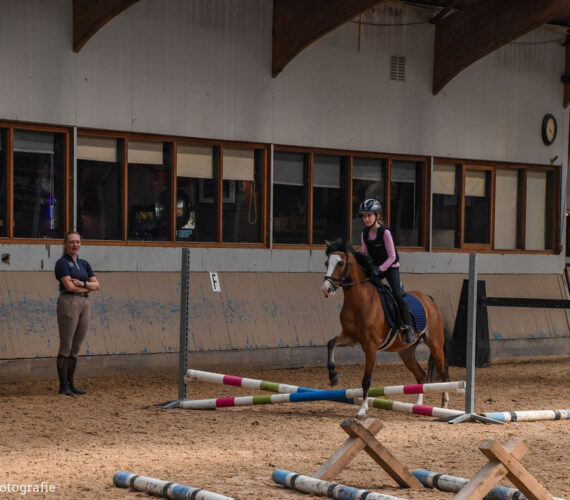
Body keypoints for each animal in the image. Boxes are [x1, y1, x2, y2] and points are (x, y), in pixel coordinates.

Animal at [320, 238, 448, 418]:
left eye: (340, 263)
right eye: (326, 263)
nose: (326, 289)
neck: (360, 301)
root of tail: (428, 299)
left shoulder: (370, 346)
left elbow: (366, 380)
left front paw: (362, 410)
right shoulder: (350, 337)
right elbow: (331, 343)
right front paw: (333, 376)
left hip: (435, 344)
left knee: (443, 373)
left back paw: (444, 404)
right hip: (406, 352)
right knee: (421, 375)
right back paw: (418, 405)